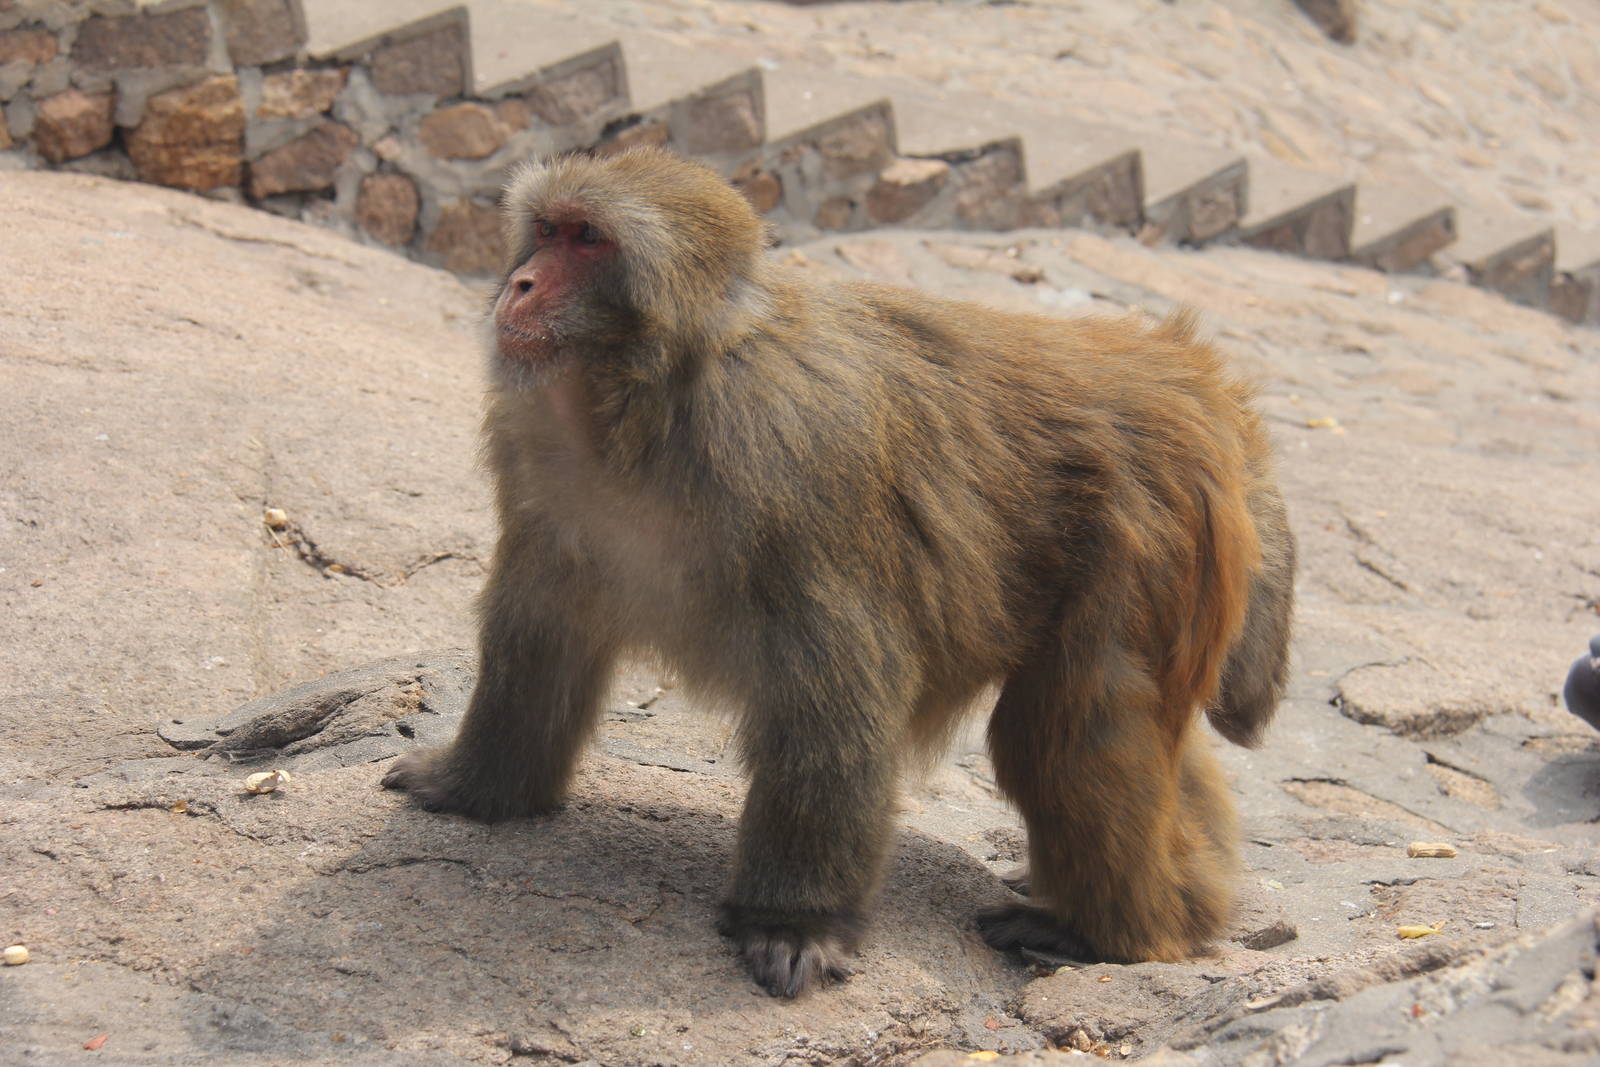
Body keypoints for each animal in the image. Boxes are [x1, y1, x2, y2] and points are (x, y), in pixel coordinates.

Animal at [381, 147, 1295, 997]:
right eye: (544, 229)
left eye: (587, 239)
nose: (521, 283)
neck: (645, 398)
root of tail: (1169, 368)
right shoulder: (536, 452)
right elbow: (541, 629)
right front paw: (477, 786)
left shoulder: (790, 460)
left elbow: (834, 696)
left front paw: (795, 924)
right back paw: (1190, 906)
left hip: (1150, 536)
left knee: (1069, 730)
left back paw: (1118, 935)